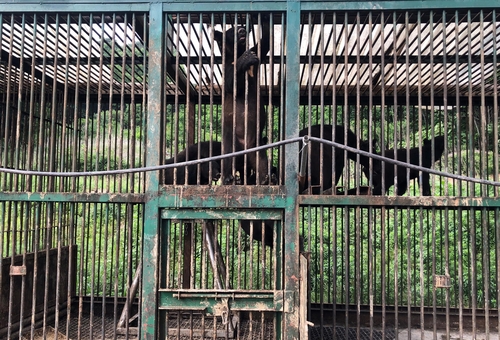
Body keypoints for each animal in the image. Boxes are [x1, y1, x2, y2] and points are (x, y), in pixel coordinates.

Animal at [214, 14, 272, 185]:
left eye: (241, 26)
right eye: (231, 30)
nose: (241, 30)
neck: (237, 52)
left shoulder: (257, 52)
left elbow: (265, 42)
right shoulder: (226, 68)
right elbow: (231, 83)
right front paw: (246, 59)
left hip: (257, 145)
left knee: (261, 161)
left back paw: (265, 178)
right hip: (229, 140)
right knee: (227, 159)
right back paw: (227, 178)